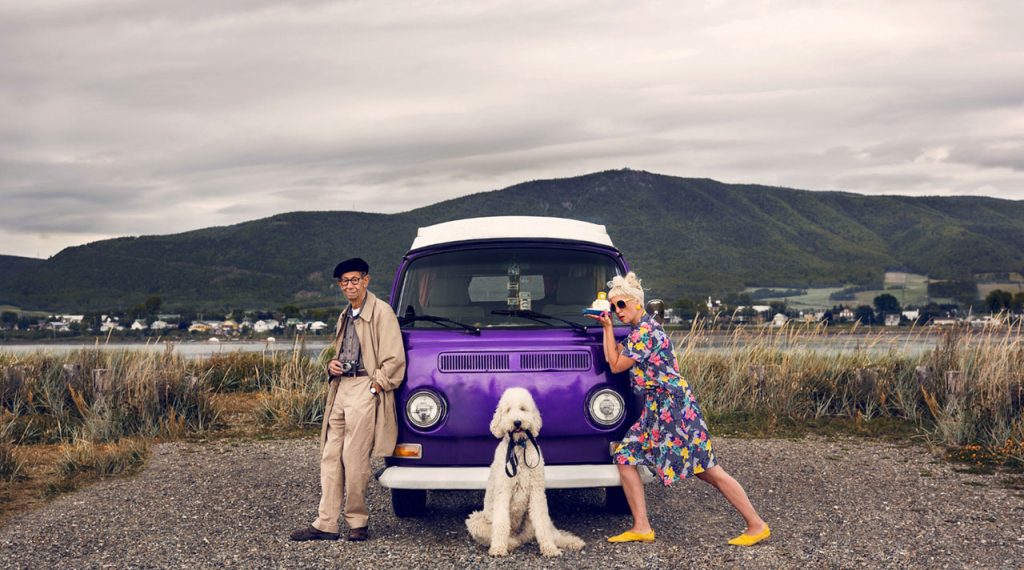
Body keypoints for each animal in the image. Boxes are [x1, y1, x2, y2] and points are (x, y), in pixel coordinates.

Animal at [464, 386, 585, 556]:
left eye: (523, 408)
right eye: (508, 410)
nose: (517, 422)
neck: (519, 447)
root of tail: (522, 537)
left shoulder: (537, 492)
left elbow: (542, 523)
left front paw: (549, 548)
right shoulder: (503, 491)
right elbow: (501, 522)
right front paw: (498, 548)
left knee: (552, 531)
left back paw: (571, 542)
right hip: (476, 519)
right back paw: (509, 544)